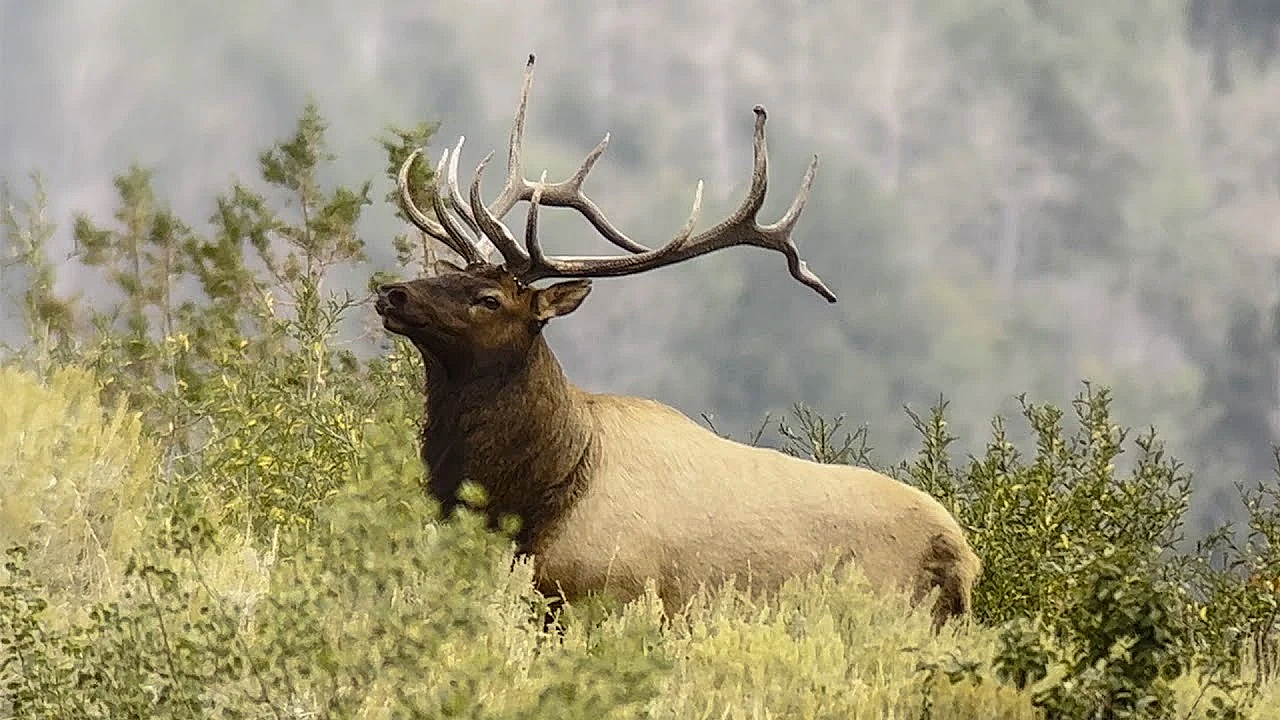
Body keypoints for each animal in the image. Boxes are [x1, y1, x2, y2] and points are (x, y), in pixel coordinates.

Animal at [375, 55, 981, 628]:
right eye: (451, 273)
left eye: (489, 299)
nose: (392, 293)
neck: (538, 499)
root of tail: (962, 557)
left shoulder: (610, 595)